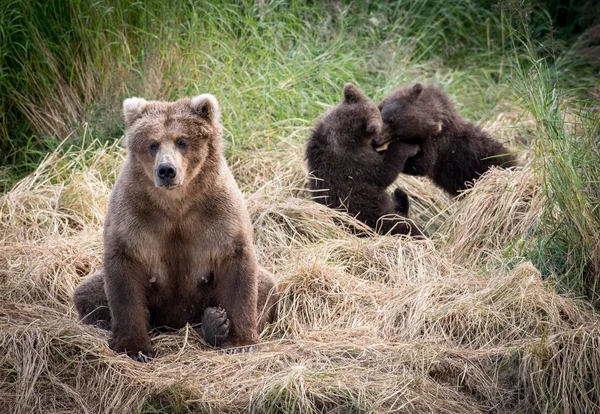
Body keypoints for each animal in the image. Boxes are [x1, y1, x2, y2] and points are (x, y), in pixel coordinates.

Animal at [72, 93, 276, 360]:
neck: (177, 203)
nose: (166, 170)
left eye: (182, 141)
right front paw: (134, 347)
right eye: (152, 144)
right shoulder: (134, 213)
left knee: (267, 286)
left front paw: (240, 341)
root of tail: (177, 324)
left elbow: (238, 265)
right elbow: (123, 271)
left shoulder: (217, 210)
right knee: (86, 293)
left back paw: (213, 324)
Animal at [304, 83, 426, 238]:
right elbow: (384, 172)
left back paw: (400, 195)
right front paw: (409, 146)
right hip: (374, 218)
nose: (376, 141)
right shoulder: (355, 161)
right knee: (404, 227)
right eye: (380, 116)